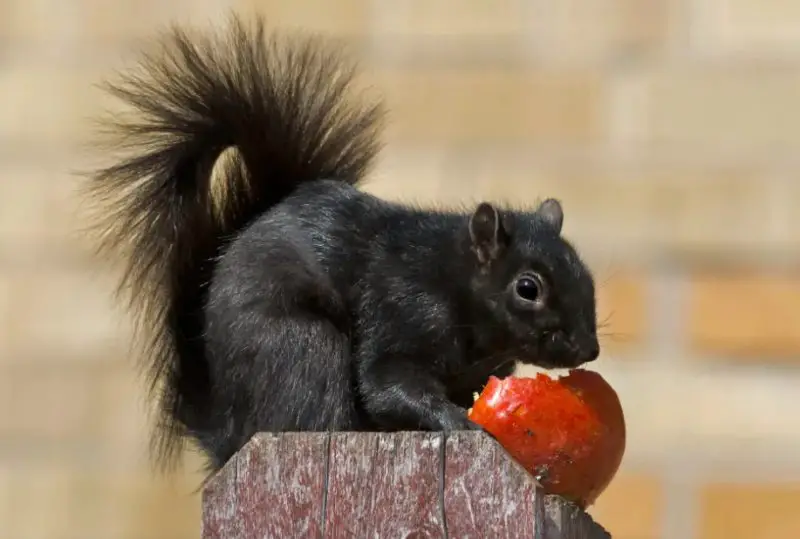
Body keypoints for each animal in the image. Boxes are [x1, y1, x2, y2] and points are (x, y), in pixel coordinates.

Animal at [85, 14, 601, 473]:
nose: (588, 349)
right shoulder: (402, 310)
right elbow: (386, 383)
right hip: (300, 346)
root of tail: (230, 433)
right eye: (527, 288)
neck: (453, 281)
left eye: (586, 276)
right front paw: (461, 423)